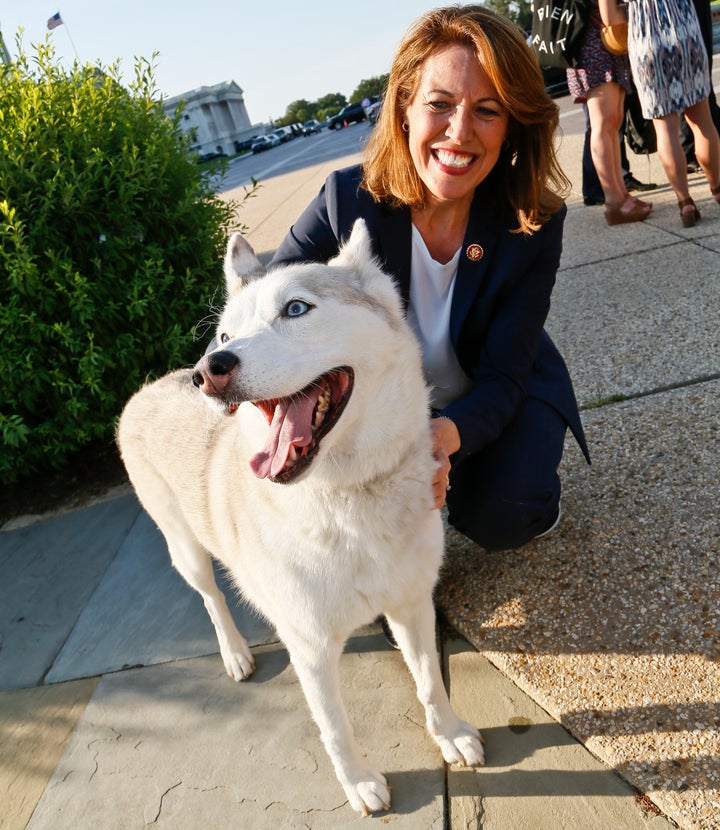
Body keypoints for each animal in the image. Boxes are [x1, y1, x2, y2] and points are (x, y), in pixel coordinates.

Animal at [118, 221, 484, 820]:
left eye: (295, 309)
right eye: (225, 334)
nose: (208, 372)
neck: (347, 497)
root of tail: (150, 386)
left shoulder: (412, 603)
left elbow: (431, 681)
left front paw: (449, 733)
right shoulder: (310, 648)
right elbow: (333, 727)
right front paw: (359, 782)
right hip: (185, 549)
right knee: (210, 597)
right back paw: (235, 653)